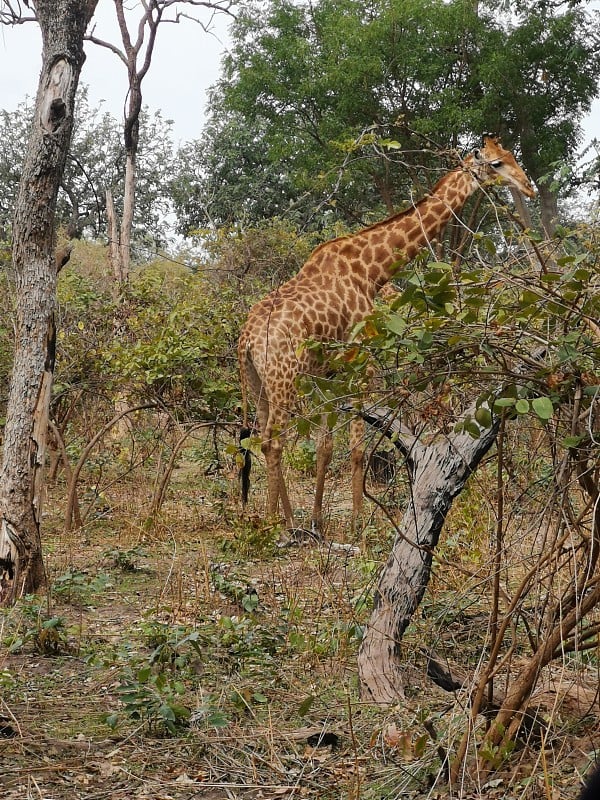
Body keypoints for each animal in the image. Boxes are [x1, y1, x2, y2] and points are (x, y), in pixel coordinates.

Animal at [237, 137, 532, 536]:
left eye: (513, 156)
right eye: (498, 163)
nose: (528, 188)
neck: (370, 269)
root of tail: (247, 340)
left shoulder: (330, 372)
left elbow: (326, 446)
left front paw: (317, 522)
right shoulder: (360, 360)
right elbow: (357, 448)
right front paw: (358, 525)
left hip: (258, 382)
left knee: (263, 438)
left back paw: (287, 519)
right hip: (284, 378)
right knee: (272, 441)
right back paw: (273, 526)